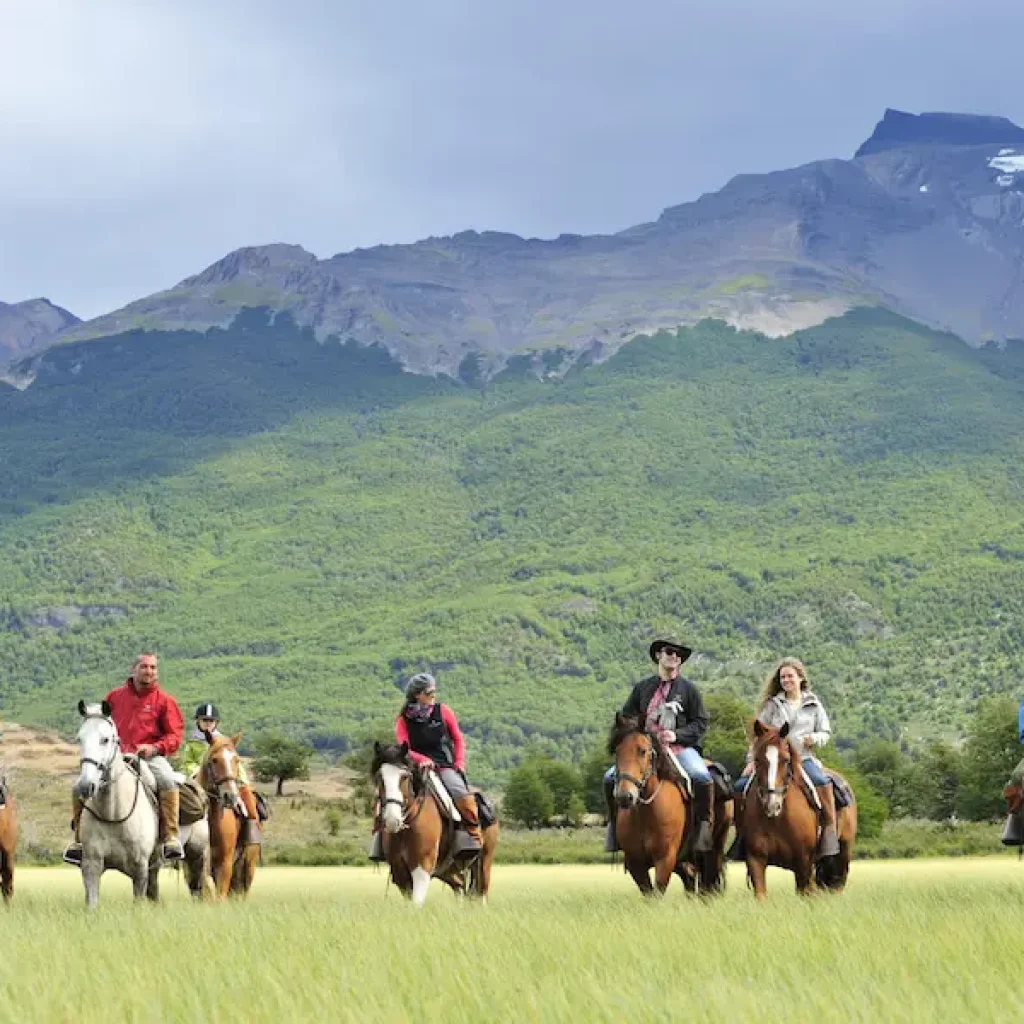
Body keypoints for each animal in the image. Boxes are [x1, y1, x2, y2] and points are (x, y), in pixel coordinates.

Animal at [197, 737, 258, 897]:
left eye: (237, 760)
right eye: (214, 760)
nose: (230, 796)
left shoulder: (225, 863)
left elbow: (220, 896)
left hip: (248, 864)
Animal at [372, 745, 499, 905]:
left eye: (404, 777)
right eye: (379, 777)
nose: (392, 819)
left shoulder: (422, 868)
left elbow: (417, 903)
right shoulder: (399, 871)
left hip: (484, 862)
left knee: (481, 893)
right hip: (449, 870)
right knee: (459, 886)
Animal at [606, 712, 737, 897]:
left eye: (642, 751)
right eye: (617, 751)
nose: (625, 796)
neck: (645, 814)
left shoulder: (665, 859)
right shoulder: (635, 863)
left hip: (714, 849)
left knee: (709, 885)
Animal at [741, 716, 860, 901]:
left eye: (785, 759)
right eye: (758, 760)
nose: (772, 804)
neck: (777, 819)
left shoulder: (803, 862)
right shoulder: (756, 859)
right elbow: (761, 894)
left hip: (842, 854)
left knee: (838, 884)